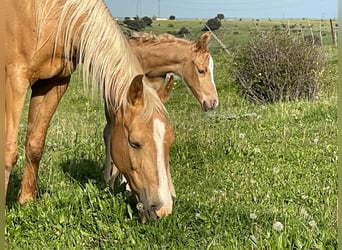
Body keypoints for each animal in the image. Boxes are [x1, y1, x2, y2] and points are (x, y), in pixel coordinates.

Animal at [5, 0, 175, 221]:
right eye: (134, 143)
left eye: (169, 142)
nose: (163, 209)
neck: (47, 15)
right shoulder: (14, 81)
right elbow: (8, 153)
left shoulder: (53, 84)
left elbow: (35, 145)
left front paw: (26, 201)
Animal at [103, 32, 218, 188]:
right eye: (201, 70)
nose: (213, 102)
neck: (147, 61)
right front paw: (112, 180)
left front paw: (127, 183)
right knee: (108, 131)